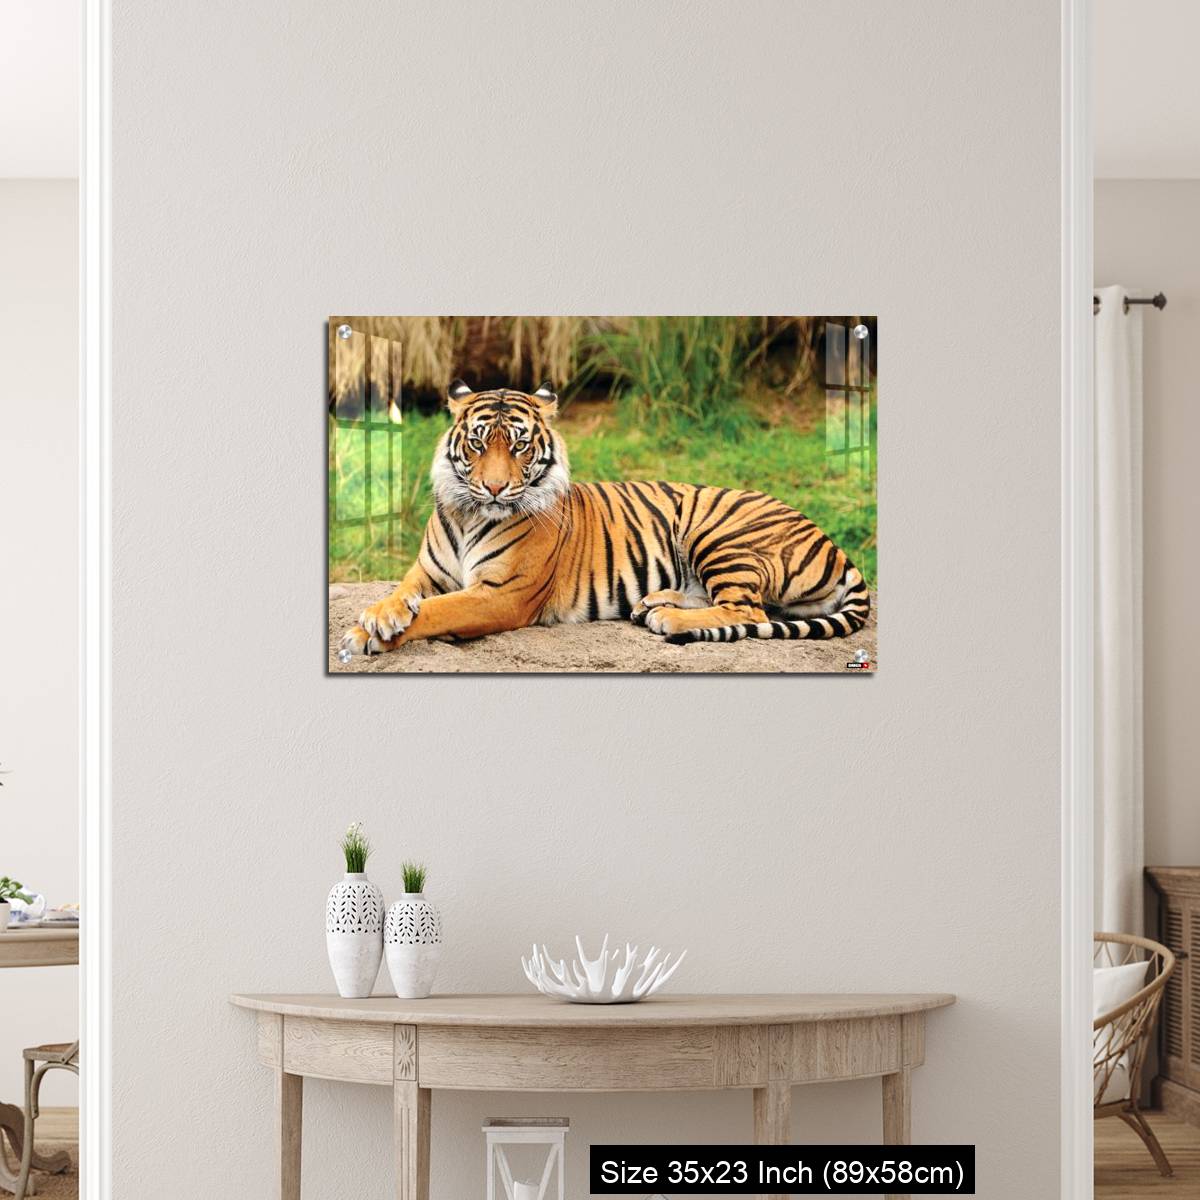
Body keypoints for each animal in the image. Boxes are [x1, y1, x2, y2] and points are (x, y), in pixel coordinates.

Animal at [339, 380, 871, 656]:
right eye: (477, 443)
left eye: (519, 445)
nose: (494, 488)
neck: (471, 515)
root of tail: (832, 542)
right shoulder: (427, 572)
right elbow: (403, 595)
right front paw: (377, 616)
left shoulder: (502, 594)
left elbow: (438, 610)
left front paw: (369, 634)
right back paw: (653, 604)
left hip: (719, 533)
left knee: (749, 610)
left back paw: (668, 619)